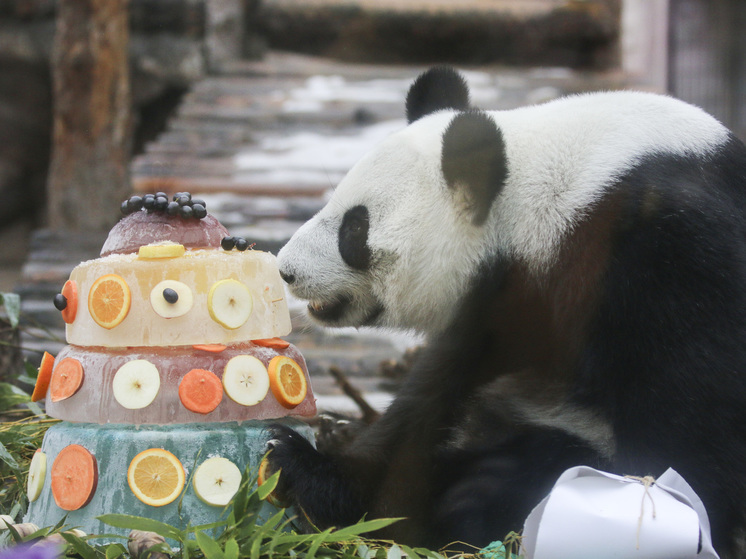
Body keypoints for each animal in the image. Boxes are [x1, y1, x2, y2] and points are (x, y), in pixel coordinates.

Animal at [270, 65, 744, 556]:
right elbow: (425, 410)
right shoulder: (502, 304)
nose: (286, 270)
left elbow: (684, 446)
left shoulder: (667, 254)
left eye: (355, 228)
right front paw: (308, 469)